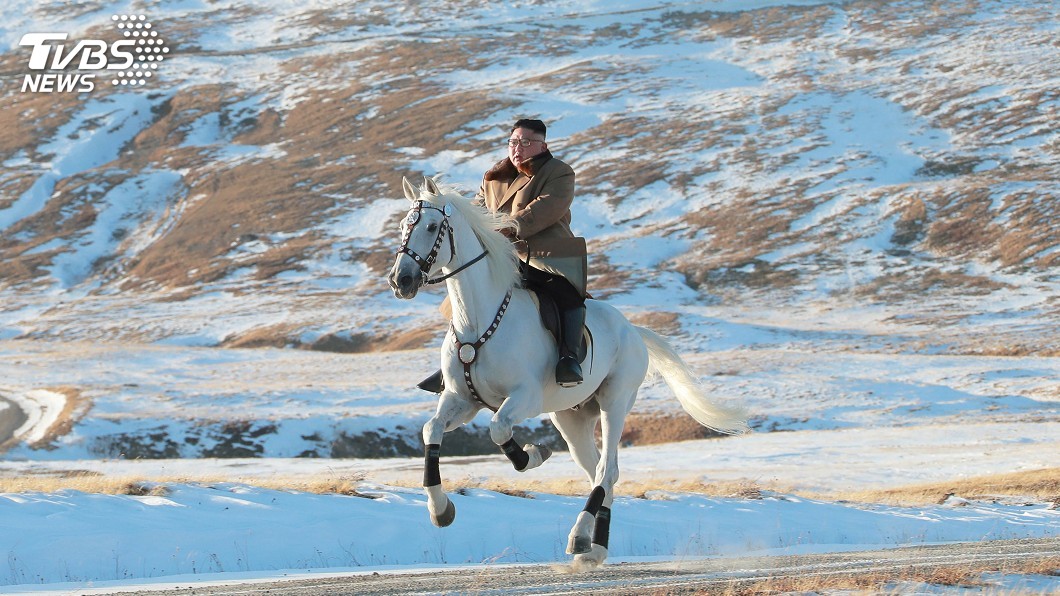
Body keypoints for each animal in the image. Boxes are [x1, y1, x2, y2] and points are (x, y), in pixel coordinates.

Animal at [387, 176, 749, 568]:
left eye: (432, 227)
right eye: (404, 226)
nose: (401, 280)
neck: (478, 321)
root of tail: (633, 330)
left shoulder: (524, 397)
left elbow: (499, 429)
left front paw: (533, 455)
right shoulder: (461, 400)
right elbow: (431, 430)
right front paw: (440, 510)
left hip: (614, 402)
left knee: (606, 470)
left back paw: (579, 537)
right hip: (571, 418)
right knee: (600, 474)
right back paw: (595, 547)